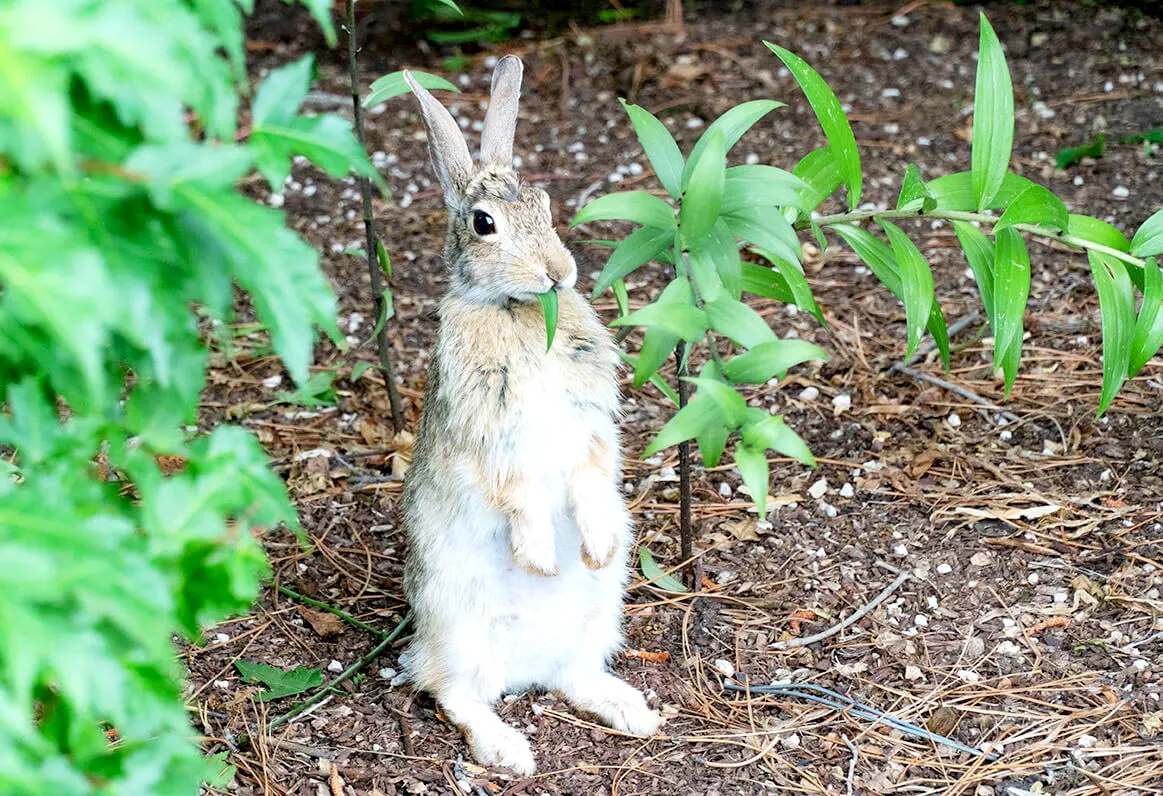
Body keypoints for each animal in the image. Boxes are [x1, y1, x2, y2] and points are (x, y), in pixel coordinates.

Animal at [397, 56, 661, 775]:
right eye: (483, 223)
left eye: (544, 206)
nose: (556, 272)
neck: (518, 311)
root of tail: (523, 673)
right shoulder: (487, 434)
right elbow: (515, 488)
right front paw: (540, 557)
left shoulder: (590, 423)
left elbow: (592, 473)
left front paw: (592, 543)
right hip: (456, 624)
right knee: (454, 696)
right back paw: (509, 751)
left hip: (601, 609)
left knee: (576, 675)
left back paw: (635, 712)